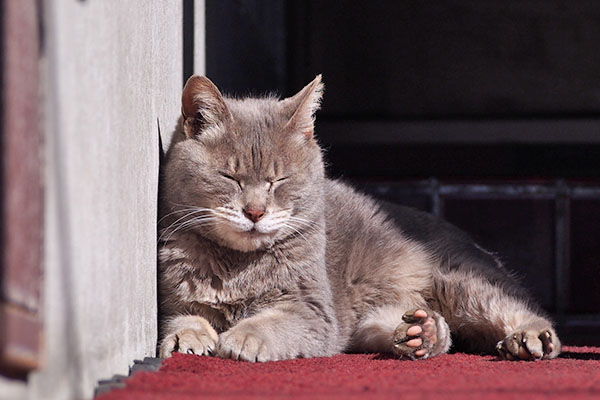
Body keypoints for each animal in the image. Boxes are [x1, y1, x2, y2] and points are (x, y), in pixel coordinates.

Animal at [158, 75, 564, 362]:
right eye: (231, 177)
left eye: (279, 180)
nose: (255, 211)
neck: (236, 268)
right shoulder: (175, 296)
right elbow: (184, 316)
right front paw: (187, 336)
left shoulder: (313, 310)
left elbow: (274, 321)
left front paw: (243, 337)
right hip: (373, 317)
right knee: (431, 333)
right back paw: (423, 333)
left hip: (461, 282)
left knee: (513, 306)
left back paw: (528, 337)